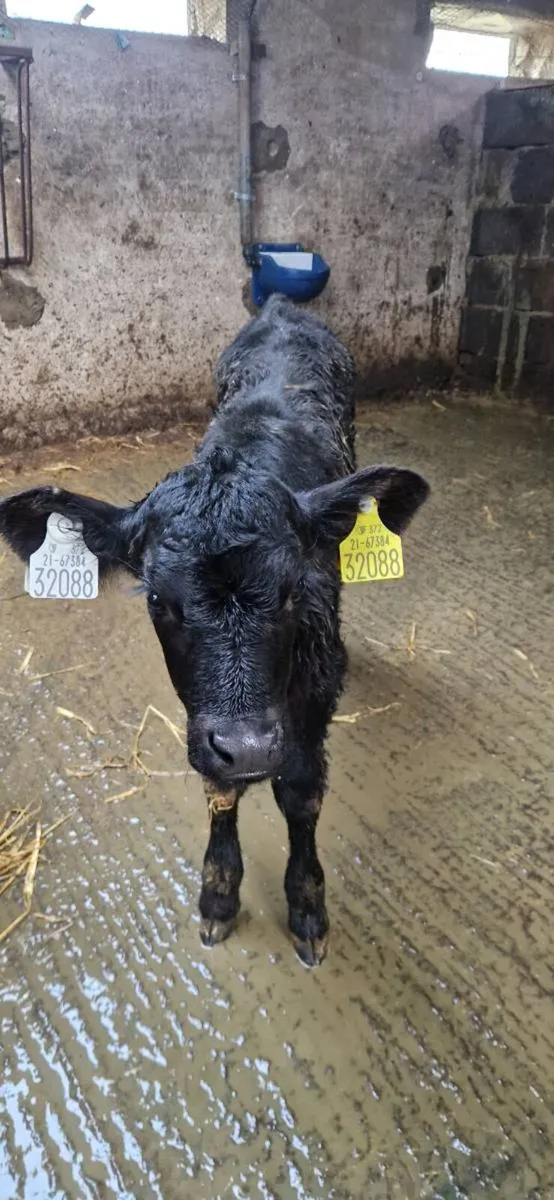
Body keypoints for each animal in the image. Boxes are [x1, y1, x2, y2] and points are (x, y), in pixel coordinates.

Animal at [0, 296, 429, 965]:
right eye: (158, 600)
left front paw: (308, 905)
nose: (248, 747)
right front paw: (219, 893)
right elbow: (219, 788)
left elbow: (300, 790)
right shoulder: (202, 715)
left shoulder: (316, 682)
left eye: (292, 590)